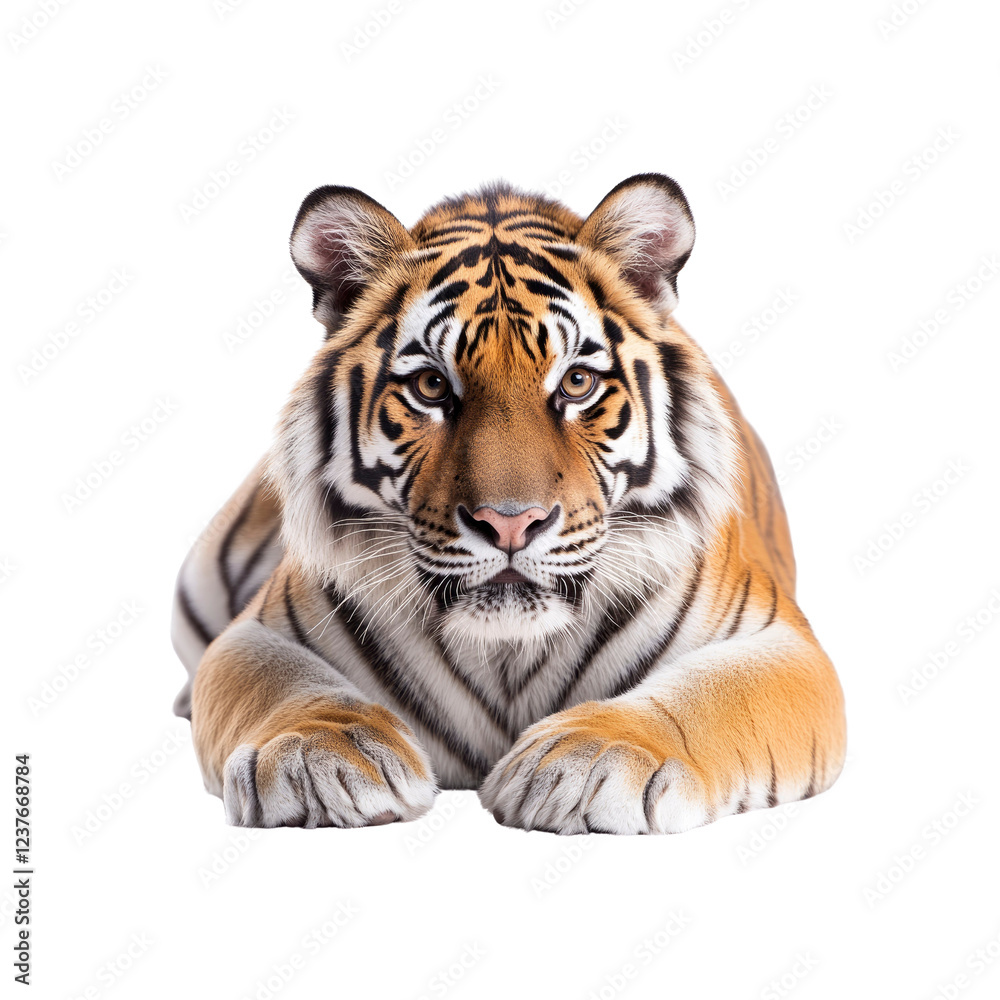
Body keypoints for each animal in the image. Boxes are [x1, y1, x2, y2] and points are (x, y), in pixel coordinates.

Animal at [171, 173, 846, 835]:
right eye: (431, 386)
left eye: (577, 382)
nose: (510, 522)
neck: (507, 653)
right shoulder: (256, 632)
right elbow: (284, 687)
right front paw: (318, 752)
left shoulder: (782, 643)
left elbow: (706, 697)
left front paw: (590, 761)